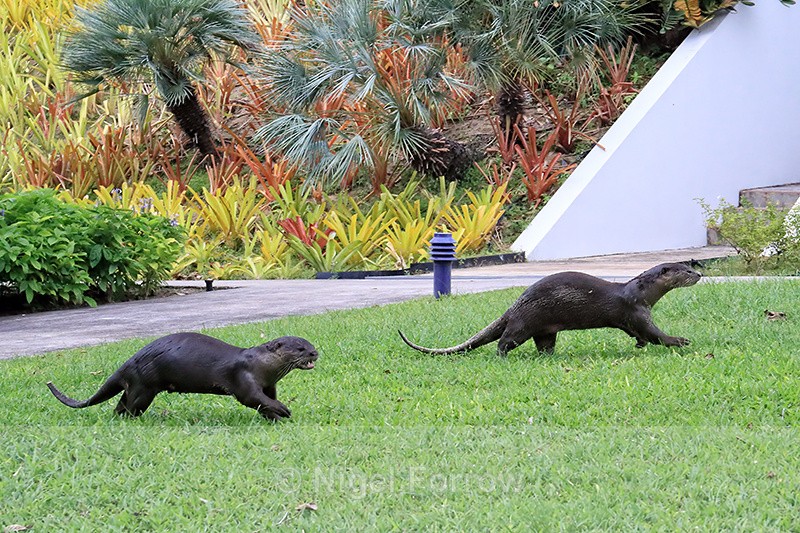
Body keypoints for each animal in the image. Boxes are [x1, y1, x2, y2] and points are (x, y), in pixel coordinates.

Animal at [47, 333, 318, 421]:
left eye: (310, 344)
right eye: (300, 348)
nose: (315, 352)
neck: (262, 366)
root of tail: (131, 360)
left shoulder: (269, 384)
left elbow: (264, 401)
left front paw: (275, 416)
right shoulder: (244, 379)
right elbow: (252, 398)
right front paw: (283, 410)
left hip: (136, 385)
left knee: (120, 404)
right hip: (144, 386)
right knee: (131, 406)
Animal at [399, 262, 701, 356]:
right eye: (685, 271)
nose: (699, 274)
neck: (640, 292)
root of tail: (515, 305)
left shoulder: (629, 319)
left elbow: (637, 334)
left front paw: (640, 345)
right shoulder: (638, 311)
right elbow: (654, 333)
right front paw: (679, 340)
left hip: (545, 330)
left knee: (543, 344)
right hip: (524, 323)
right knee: (504, 339)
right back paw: (503, 356)